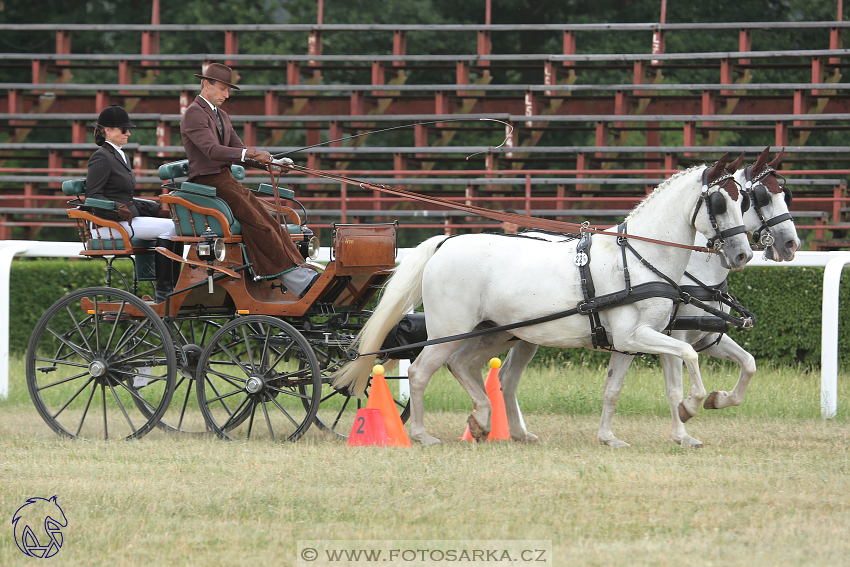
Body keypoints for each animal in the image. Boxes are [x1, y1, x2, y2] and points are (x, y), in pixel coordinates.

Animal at [334, 155, 752, 444]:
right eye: (719, 203)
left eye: (744, 201)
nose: (743, 254)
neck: (638, 260)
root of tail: (446, 242)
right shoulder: (639, 336)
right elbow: (689, 357)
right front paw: (694, 405)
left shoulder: (632, 341)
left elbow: (616, 388)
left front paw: (613, 438)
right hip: (450, 331)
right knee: (422, 371)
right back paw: (422, 434)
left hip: (493, 332)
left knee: (465, 366)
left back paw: (482, 421)